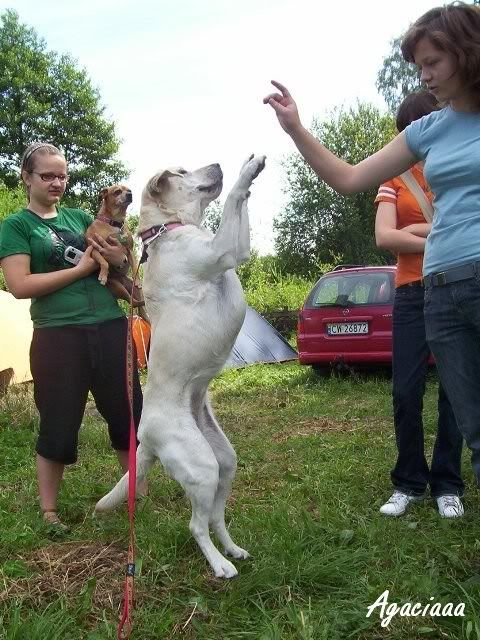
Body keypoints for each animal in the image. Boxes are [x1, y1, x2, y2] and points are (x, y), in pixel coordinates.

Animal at [85, 184, 147, 319]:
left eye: (129, 190)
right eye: (117, 192)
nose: (130, 194)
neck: (115, 222)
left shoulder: (130, 250)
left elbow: (135, 267)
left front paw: (138, 281)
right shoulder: (94, 248)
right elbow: (104, 262)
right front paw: (103, 276)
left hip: (135, 291)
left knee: (137, 306)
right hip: (118, 287)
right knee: (132, 303)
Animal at [95, 155, 266, 578]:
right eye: (182, 172)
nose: (217, 163)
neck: (168, 230)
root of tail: (145, 438)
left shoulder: (233, 249)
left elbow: (238, 207)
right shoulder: (222, 251)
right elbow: (234, 198)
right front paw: (248, 171)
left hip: (223, 461)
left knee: (215, 518)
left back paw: (232, 549)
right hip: (201, 467)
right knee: (195, 525)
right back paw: (220, 565)